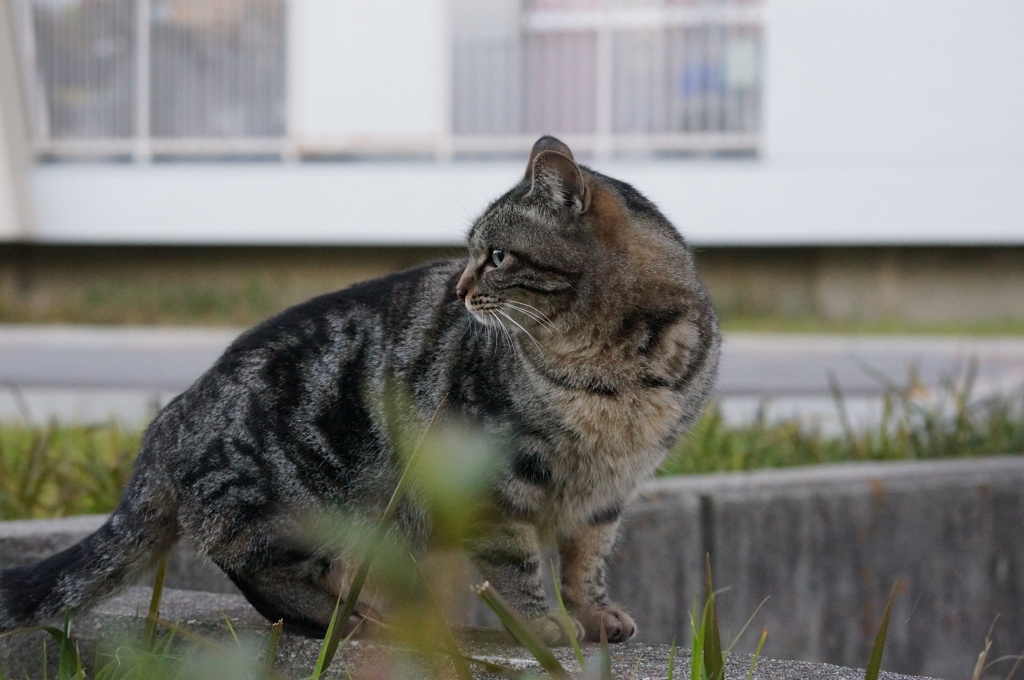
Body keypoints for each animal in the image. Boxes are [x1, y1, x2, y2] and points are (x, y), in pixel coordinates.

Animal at [0, 137, 720, 643]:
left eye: (496, 256)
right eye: (472, 254)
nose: (460, 289)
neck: (616, 371)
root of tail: (168, 419)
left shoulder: (608, 494)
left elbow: (584, 566)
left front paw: (593, 618)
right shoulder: (494, 487)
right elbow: (519, 573)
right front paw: (544, 630)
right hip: (309, 510)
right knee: (259, 575)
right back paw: (352, 620)